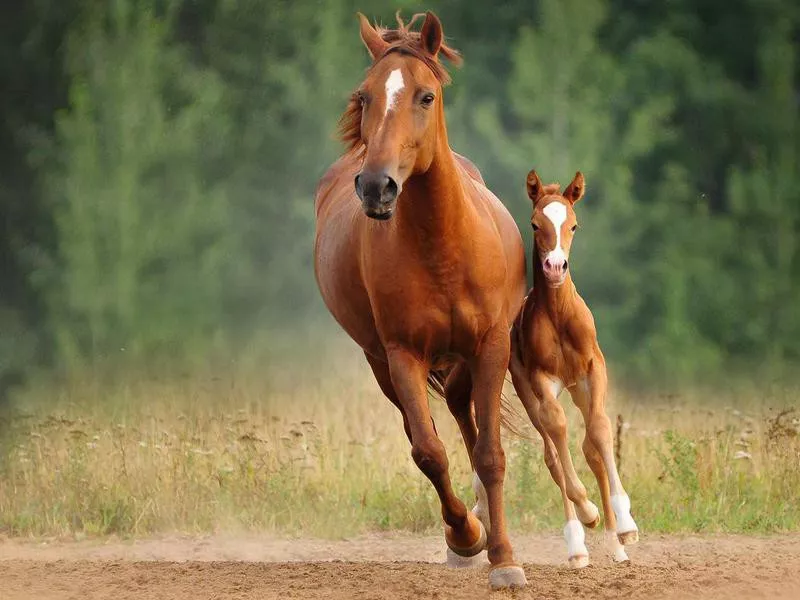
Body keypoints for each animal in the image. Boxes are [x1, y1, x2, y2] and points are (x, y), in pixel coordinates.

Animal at [512, 169, 636, 568]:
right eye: (535, 224)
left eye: (574, 225)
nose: (554, 267)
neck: (559, 316)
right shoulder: (542, 380)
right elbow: (557, 430)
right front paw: (588, 512)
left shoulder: (593, 369)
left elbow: (598, 432)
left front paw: (625, 524)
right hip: (527, 392)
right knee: (553, 454)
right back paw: (578, 545)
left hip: (579, 389)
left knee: (588, 448)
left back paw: (615, 543)